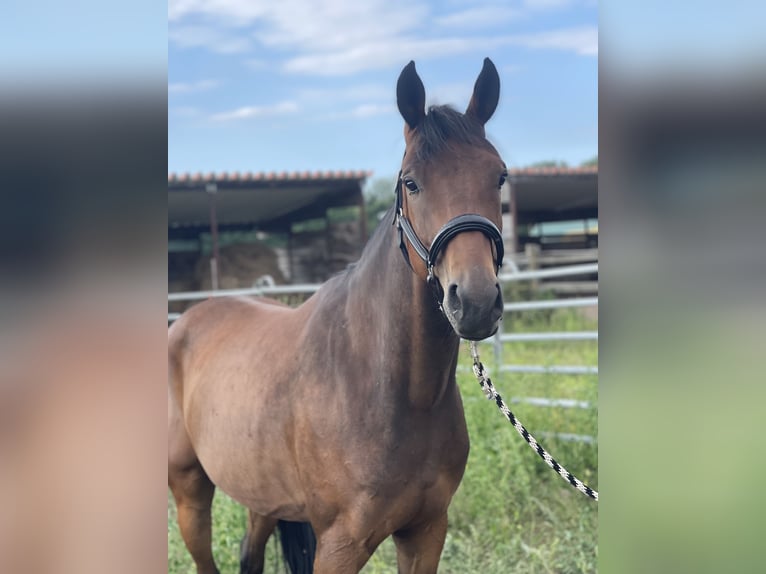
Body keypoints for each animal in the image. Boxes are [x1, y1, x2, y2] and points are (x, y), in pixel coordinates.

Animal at [171, 58, 512, 574]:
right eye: (411, 182)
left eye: (500, 176)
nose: (473, 300)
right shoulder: (340, 544)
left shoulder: (426, 531)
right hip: (189, 490)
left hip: (260, 495)